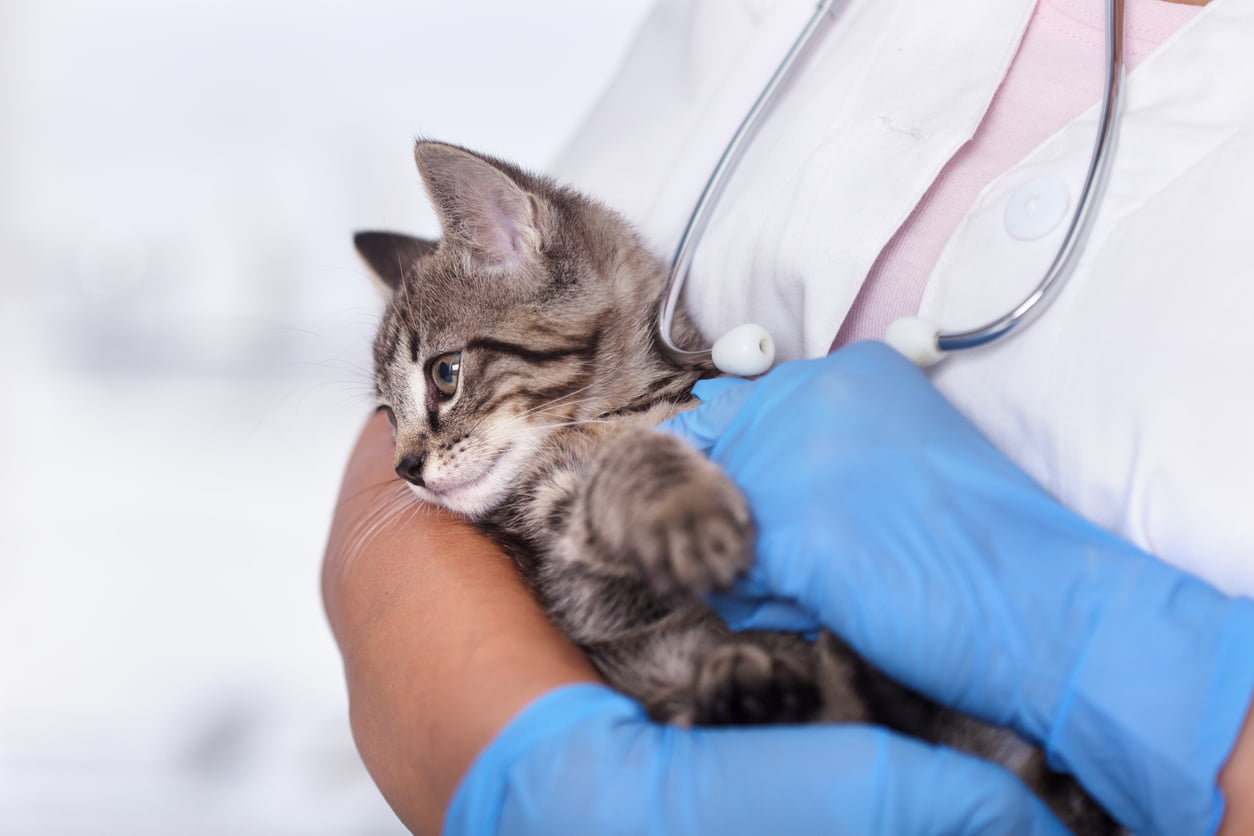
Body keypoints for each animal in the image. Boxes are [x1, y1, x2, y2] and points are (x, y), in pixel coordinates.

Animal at [356, 140, 1118, 832]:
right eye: (387, 415)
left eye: (445, 375)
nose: (404, 469)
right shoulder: (574, 581)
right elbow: (626, 479)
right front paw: (685, 511)